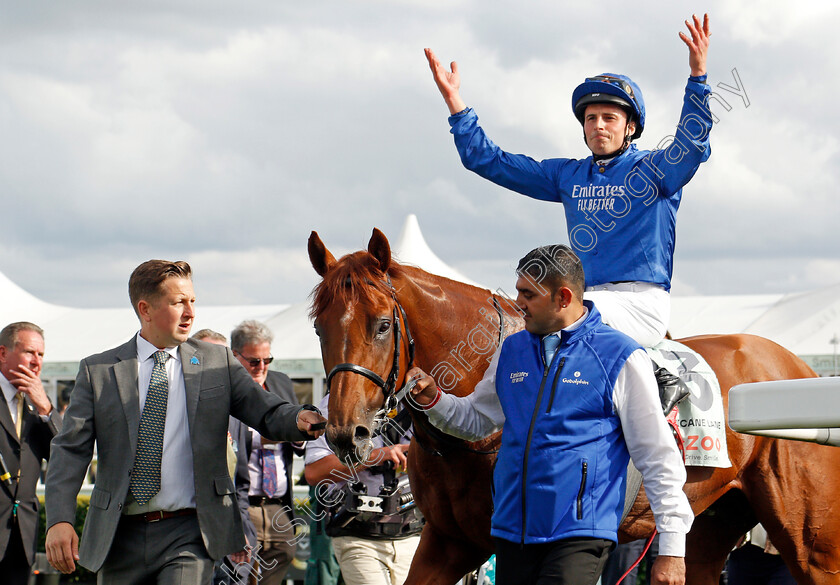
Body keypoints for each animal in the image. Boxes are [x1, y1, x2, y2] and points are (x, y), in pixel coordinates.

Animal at [308, 228, 840, 584]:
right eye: (319, 327)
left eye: (381, 324)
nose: (345, 433)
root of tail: (797, 365)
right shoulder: (447, 541)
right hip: (708, 528)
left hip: (812, 544)